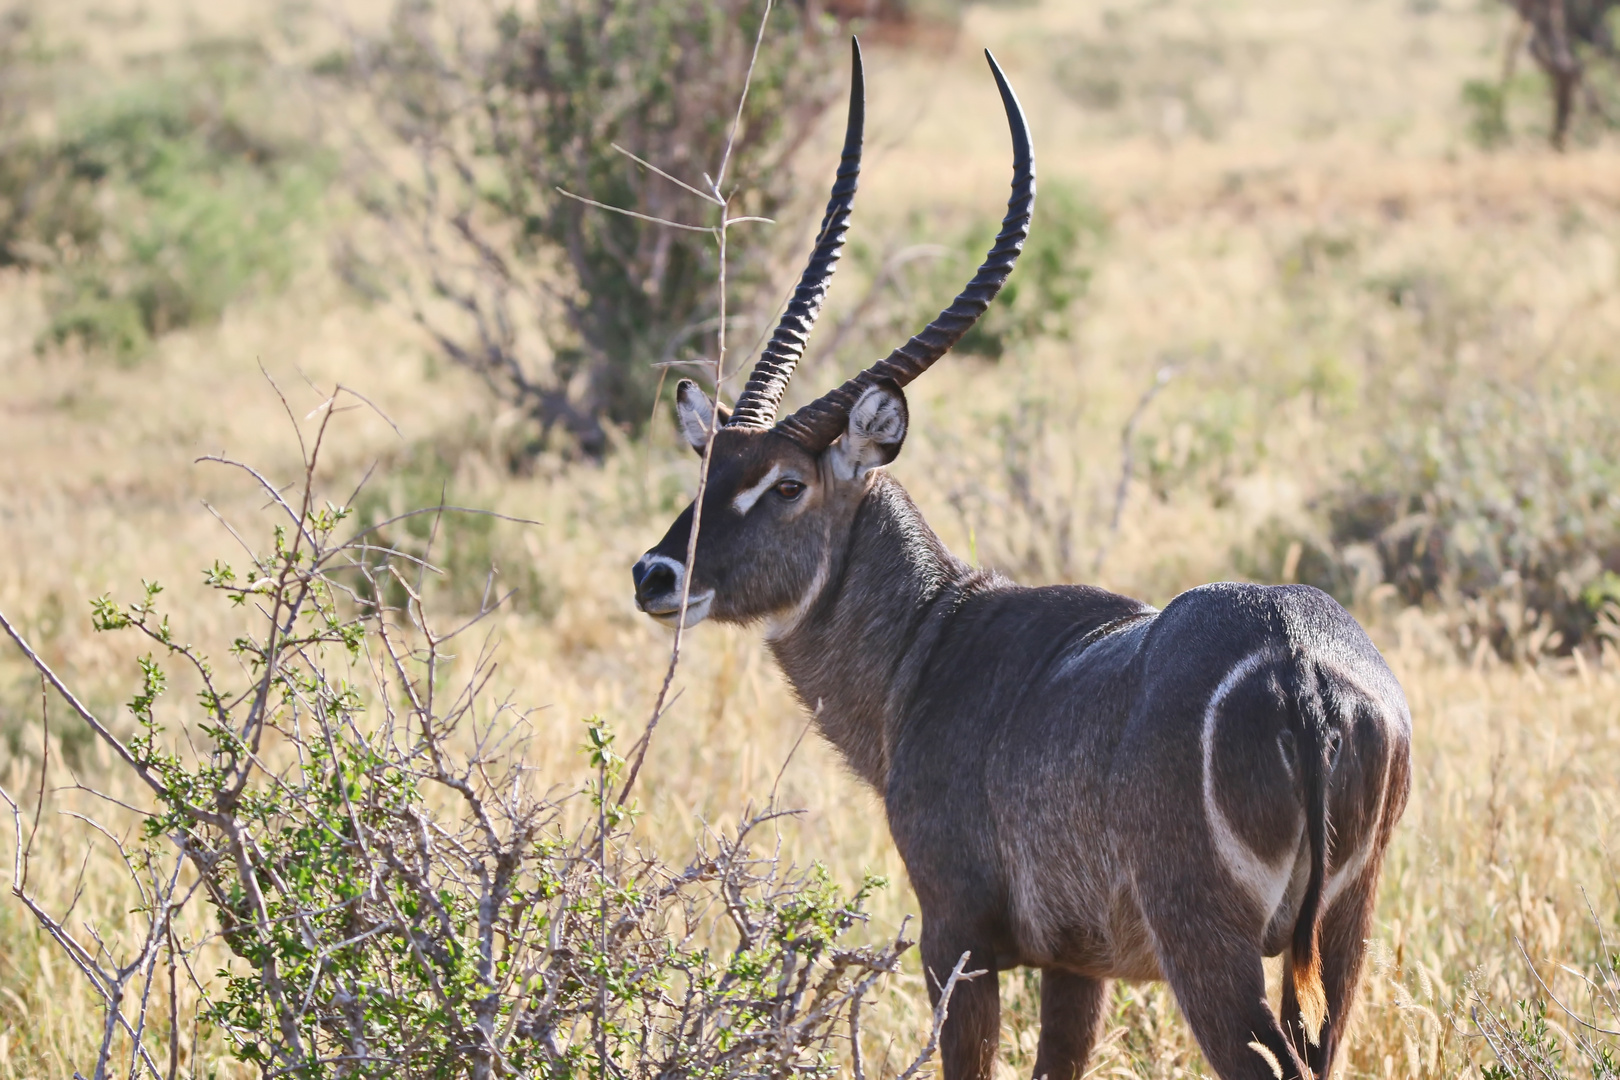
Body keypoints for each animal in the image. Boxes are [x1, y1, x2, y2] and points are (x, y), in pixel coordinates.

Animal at [631, 42, 1406, 1080]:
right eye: (709, 463)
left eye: (786, 483)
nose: (655, 576)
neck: (933, 641)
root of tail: (1299, 664)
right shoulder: (1080, 963)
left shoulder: (955, 938)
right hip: (1345, 933)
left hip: (1208, 942)